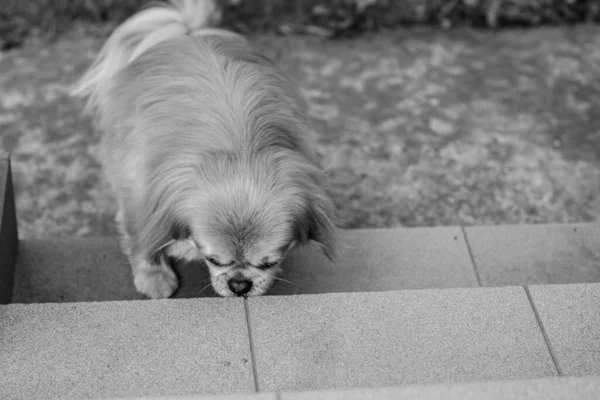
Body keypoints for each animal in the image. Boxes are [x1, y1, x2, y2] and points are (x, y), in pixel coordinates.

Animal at [70, 0, 338, 296]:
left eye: (269, 263)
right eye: (213, 260)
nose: (240, 284)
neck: (239, 152)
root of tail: (186, 33)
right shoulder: (139, 191)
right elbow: (142, 238)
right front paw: (153, 276)